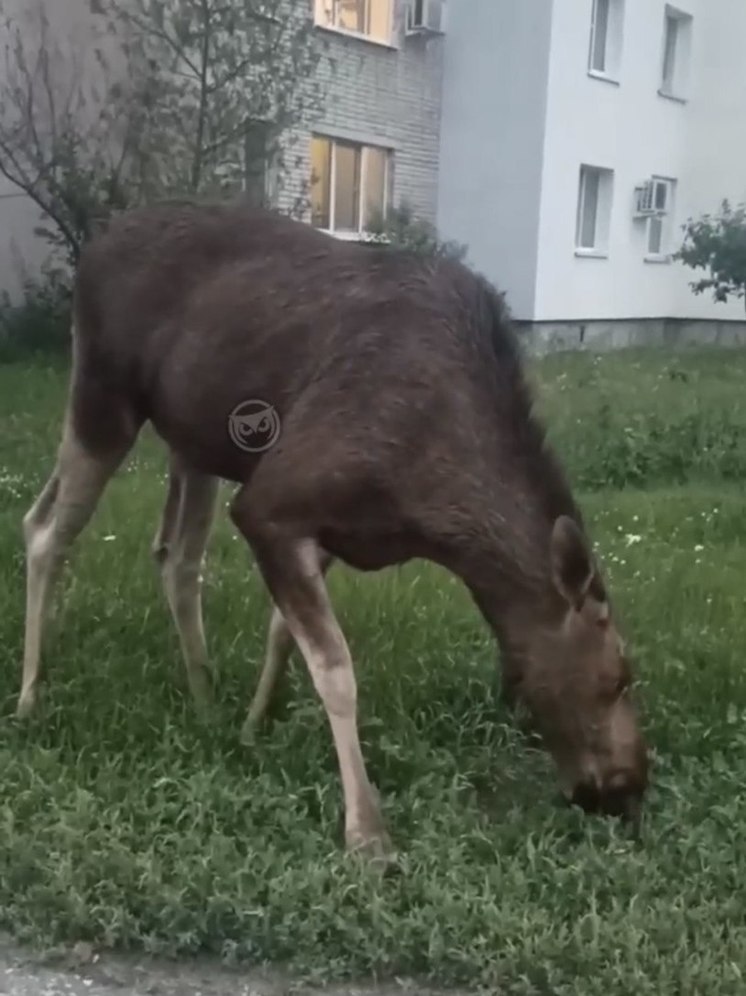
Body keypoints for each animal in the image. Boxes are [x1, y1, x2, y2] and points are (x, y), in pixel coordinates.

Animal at [16, 198, 644, 860]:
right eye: (620, 678)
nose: (632, 788)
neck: (439, 516)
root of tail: (91, 251)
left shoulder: (332, 531)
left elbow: (281, 635)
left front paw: (252, 726)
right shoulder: (271, 503)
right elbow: (336, 671)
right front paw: (367, 833)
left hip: (192, 441)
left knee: (174, 555)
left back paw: (204, 697)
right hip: (102, 397)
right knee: (46, 529)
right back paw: (30, 697)